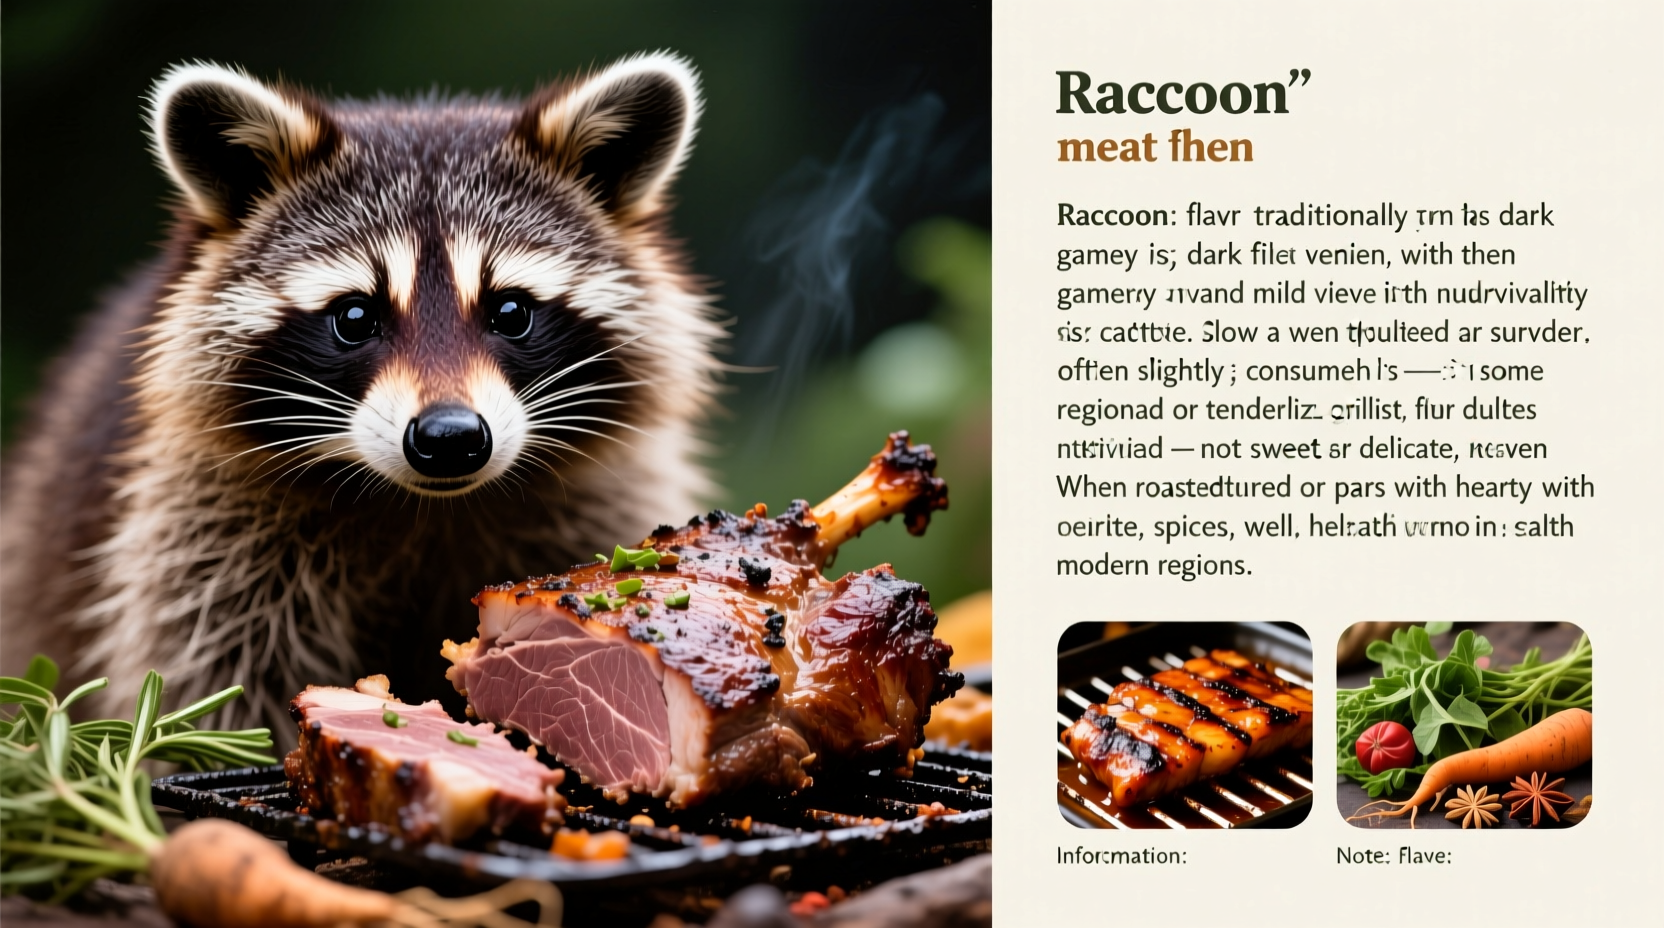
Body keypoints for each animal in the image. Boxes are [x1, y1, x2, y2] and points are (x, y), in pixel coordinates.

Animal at [0, 53, 723, 733]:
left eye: (511, 311)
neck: (429, 508)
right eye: (354, 317)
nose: (450, 439)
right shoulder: (203, 529)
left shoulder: (602, 497)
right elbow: (213, 684)